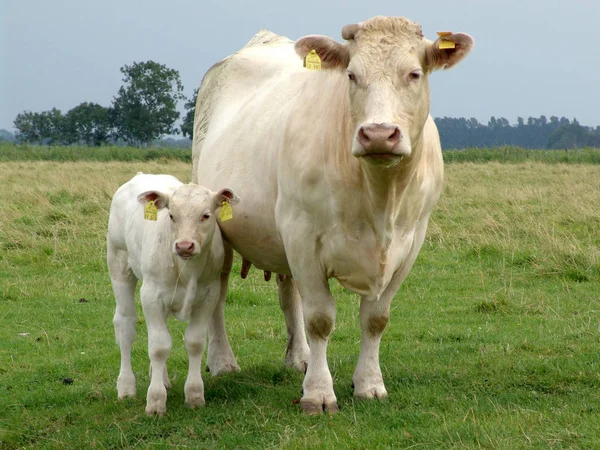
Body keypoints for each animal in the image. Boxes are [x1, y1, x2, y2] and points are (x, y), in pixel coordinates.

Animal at [106, 172, 238, 414]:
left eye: (206, 215)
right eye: (171, 215)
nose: (184, 246)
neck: (187, 269)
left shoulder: (209, 295)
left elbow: (194, 342)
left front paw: (194, 394)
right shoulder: (151, 296)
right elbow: (159, 347)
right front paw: (155, 400)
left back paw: (162, 378)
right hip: (119, 264)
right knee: (125, 326)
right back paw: (126, 386)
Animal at [192, 15, 474, 414]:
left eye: (415, 73)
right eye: (352, 75)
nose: (378, 134)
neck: (380, 196)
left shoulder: (411, 242)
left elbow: (375, 319)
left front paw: (369, 384)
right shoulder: (302, 235)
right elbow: (320, 318)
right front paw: (318, 393)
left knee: (288, 294)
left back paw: (299, 358)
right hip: (218, 226)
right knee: (216, 295)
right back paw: (222, 362)